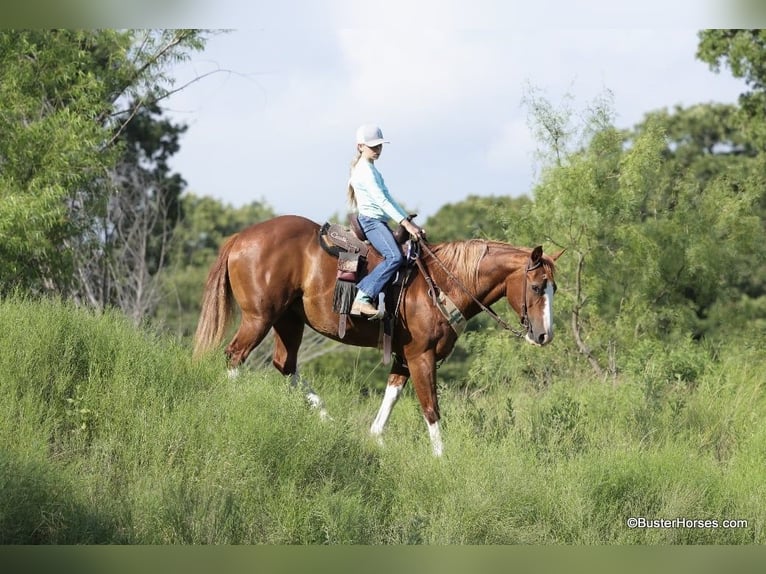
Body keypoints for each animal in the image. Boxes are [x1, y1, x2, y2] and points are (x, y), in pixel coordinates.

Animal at [193, 215, 561, 456]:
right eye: (536, 286)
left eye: (553, 287)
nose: (544, 335)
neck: (441, 282)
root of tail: (240, 237)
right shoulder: (421, 355)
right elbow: (431, 407)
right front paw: (441, 459)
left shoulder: (404, 357)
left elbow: (392, 396)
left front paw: (375, 438)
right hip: (259, 318)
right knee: (235, 355)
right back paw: (234, 406)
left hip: (288, 320)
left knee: (286, 365)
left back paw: (328, 420)